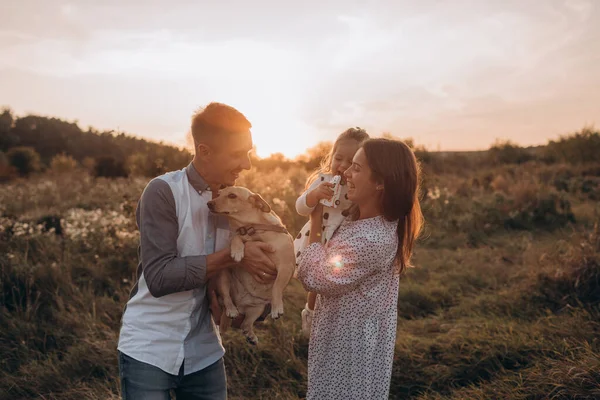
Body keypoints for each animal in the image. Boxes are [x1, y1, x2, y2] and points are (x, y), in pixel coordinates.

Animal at [207, 187, 296, 344]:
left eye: (232, 196)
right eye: (219, 194)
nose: (209, 203)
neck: (255, 228)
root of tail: (240, 305)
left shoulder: (286, 267)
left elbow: (277, 287)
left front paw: (276, 308)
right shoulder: (242, 236)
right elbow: (236, 237)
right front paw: (237, 251)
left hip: (258, 308)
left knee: (246, 323)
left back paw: (251, 335)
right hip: (223, 276)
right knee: (226, 298)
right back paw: (231, 310)